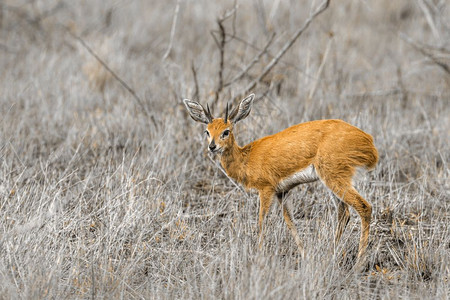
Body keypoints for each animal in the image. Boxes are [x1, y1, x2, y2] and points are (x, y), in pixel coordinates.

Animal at [183, 94, 376, 264]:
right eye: (207, 131)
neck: (247, 157)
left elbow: (262, 221)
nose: (212, 146)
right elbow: (290, 221)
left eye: (226, 131)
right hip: (332, 182)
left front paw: (259, 255)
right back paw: (330, 255)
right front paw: (305, 255)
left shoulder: (266, 190)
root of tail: (368, 141)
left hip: (334, 178)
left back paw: (359, 264)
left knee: (364, 207)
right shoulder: (282, 192)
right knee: (344, 213)